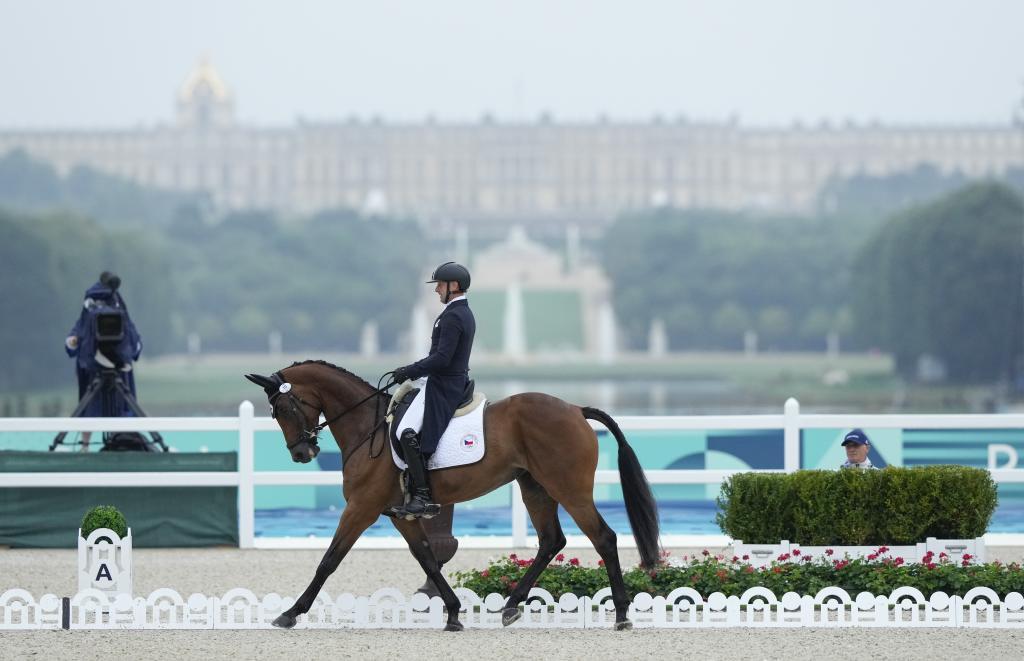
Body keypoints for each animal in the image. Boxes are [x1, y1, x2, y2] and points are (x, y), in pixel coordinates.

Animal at [247, 362, 663, 630]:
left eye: (282, 407)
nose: (302, 454)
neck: (370, 428)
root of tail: (576, 409)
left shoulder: (361, 507)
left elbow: (328, 560)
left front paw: (290, 613)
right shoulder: (400, 514)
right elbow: (428, 559)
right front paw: (452, 613)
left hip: (568, 488)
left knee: (603, 537)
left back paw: (622, 615)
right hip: (535, 488)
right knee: (551, 541)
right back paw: (511, 607)